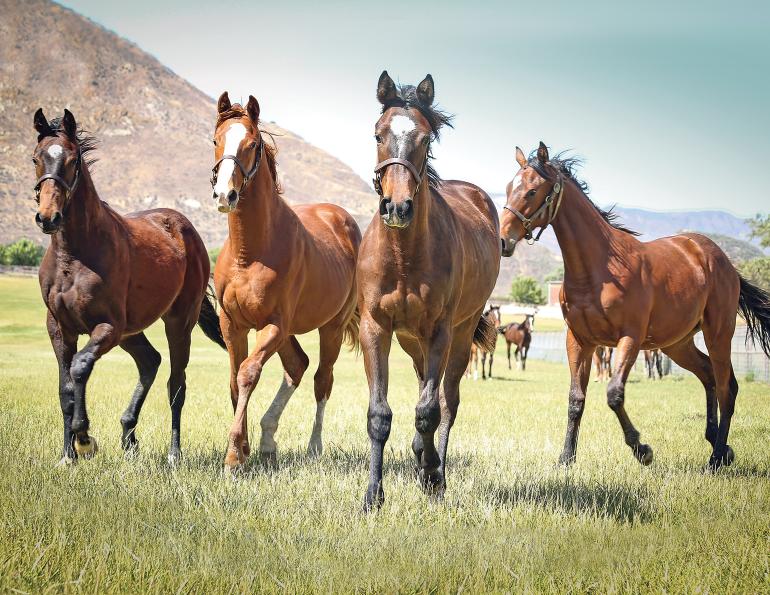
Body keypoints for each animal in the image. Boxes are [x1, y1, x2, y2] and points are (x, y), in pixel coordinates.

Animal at [31, 108, 225, 465]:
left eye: (73, 160)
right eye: (36, 158)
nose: (48, 217)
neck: (75, 256)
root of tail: (184, 227)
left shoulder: (107, 326)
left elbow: (80, 367)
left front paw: (84, 438)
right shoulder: (59, 327)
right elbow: (65, 389)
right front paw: (67, 455)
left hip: (178, 323)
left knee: (176, 385)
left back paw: (173, 454)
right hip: (131, 332)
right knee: (150, 361)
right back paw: (129, 436)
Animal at [210, 93, 361, 473]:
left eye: (252, 144)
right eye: (216, 140)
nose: (224, 195)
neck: (250, 253)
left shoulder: (274, 325)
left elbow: (248, 374)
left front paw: (233, 457)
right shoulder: (232, 324)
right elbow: (234, 381)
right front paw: (245, 447)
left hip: (331, 328)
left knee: (322, 379)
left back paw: (314, 446)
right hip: (291, 332)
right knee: (298, 366)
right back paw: (267, 439)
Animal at [357, 72, 500, 510]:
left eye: (424, 138)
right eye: (378, 134)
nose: (397, 207)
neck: (404, 257)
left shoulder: (440, 331)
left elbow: (429, 411)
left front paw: (433, 473)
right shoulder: (376, 329)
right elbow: (380, 414)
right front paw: (373, 495)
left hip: (459, 336)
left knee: (446, 402)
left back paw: (434, 467)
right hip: (411, 341)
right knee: (427, 388)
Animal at [500, 142, 770, 470]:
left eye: (531, 191)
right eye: (509, 187)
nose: (503, 240)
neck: (600, 268)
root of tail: (722, 261)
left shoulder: (630, 338)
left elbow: (614, 394)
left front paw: (642, 449)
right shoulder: (579, 340)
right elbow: (576, 399)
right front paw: (566, 459)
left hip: (718, 333)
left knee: (726, 387)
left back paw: (717, 456)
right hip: (676, 344)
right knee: (708, 376)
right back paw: (720, 445)